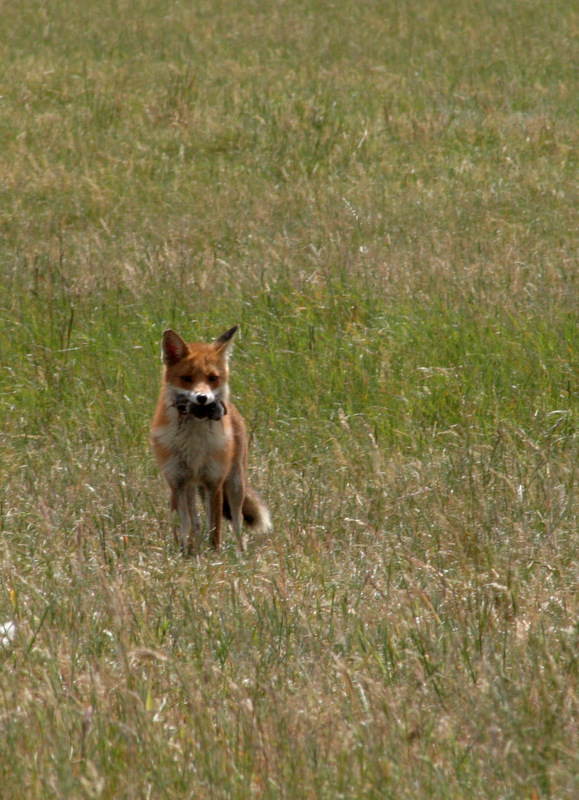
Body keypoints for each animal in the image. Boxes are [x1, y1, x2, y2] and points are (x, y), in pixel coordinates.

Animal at [153, 326, 274, 556]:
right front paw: (183, 555)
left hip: (235, 485)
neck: (194, 444)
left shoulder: (214, 483)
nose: (202, 399)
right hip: (192, 488)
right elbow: (182, 526)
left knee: (237, 521)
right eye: (186, 378)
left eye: (212, 378)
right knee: (196, 523)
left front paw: (216, 558)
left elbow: (215, 530)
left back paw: (241, 554)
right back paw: (194, 548)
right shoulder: (177, 482)